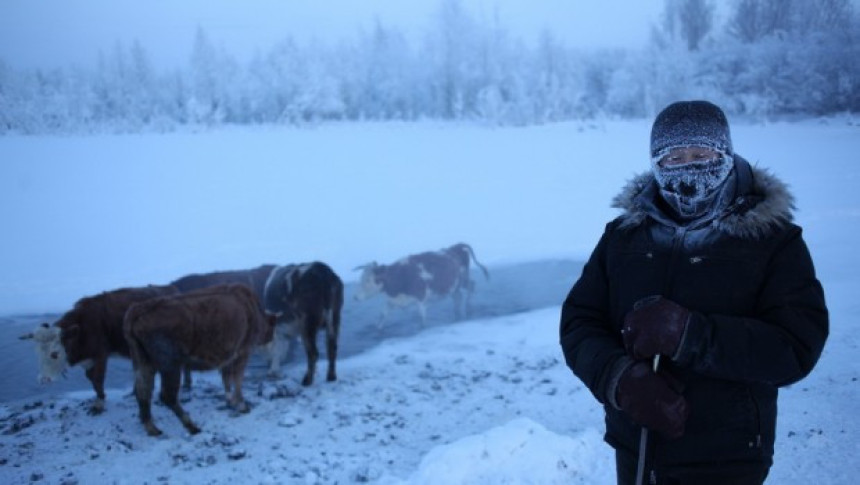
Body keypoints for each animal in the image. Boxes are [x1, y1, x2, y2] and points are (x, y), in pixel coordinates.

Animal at [18, 284, 180, 412]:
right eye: (38, 353)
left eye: (55, 353)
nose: (44, 379)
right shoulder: (88, 360)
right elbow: (91, 379)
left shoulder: (100, 355)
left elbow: (97, 380)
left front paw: (99, 404)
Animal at [122, 282, 278, 436]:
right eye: (272, 326)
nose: (270, 337)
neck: (252, 308)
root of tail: (138, 309)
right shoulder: (242, 352)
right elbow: (237, 380)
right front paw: (241, 405)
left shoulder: (227, 358)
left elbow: (226, 379)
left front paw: (230, 401)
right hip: (170, 365)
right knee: (167, 396)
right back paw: (192, 426)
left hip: (143, 363)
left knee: (143, 391)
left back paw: (152, 427)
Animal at [354, 241, 490, 326]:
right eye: (361, 278)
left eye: (368, 280)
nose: (355, 297)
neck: (400, 276)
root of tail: (455, 247)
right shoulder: (392, 300)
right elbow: (382, 316)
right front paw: (378, 331)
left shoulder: (420, 298)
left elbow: (421, 319)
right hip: (454, 285)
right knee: (458, 296)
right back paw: (457, 314)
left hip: (463, 279)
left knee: (471, 286)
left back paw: (468, 308)